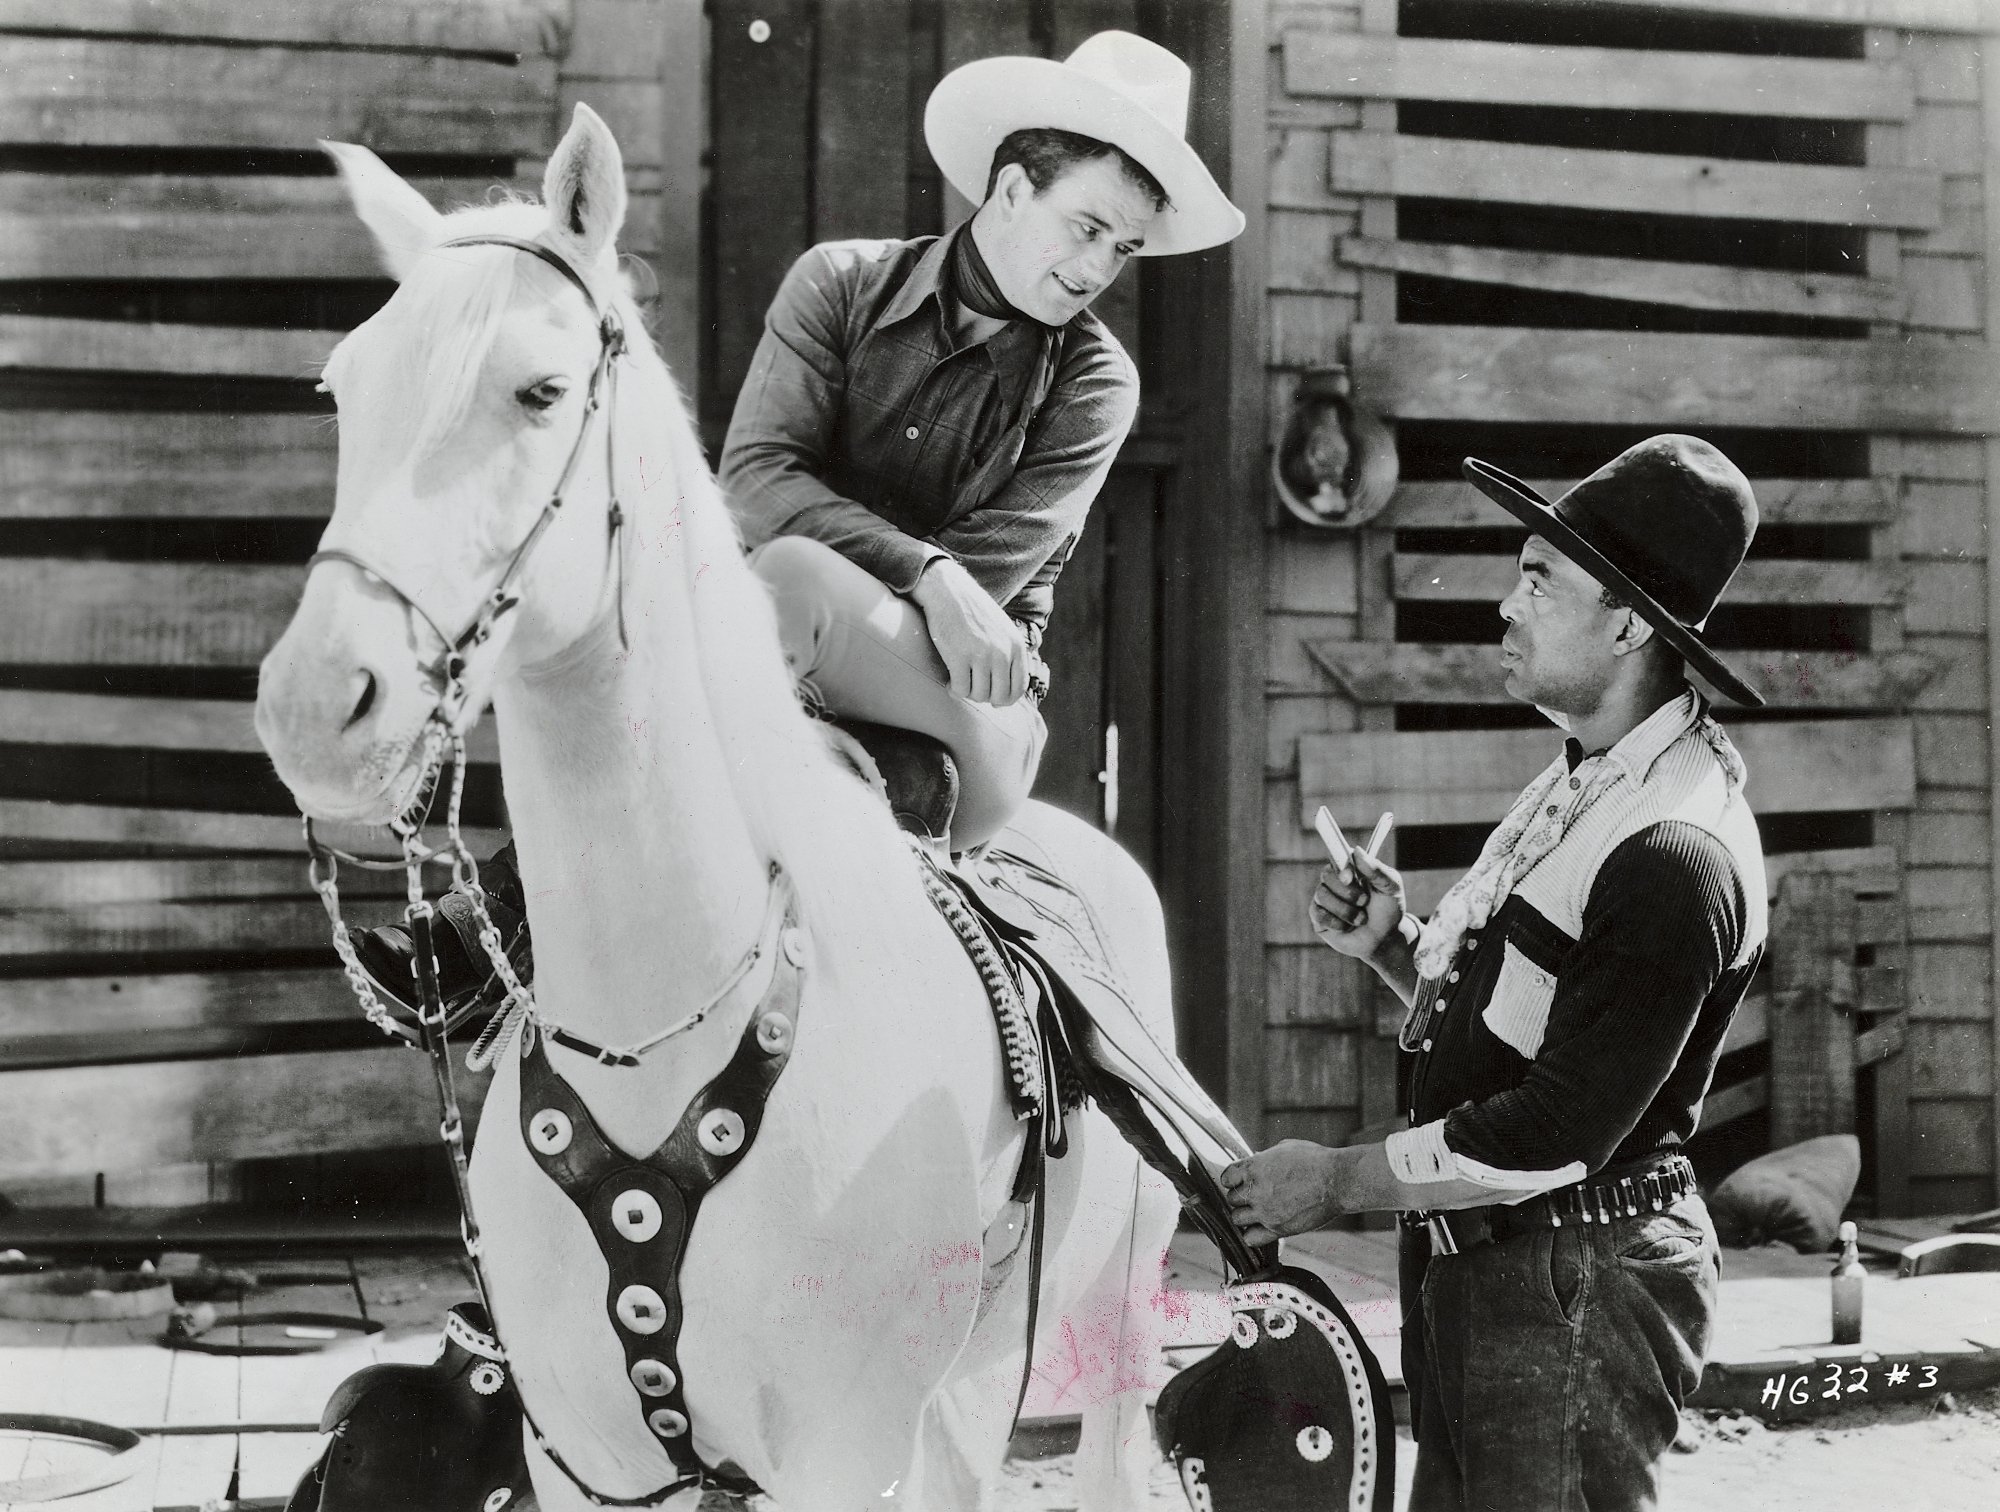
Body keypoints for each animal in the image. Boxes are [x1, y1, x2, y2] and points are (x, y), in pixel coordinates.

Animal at [264, 106, 1200, 1512]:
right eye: (340, 390)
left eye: (541, 391)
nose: (317, 702)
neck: (668, 1029)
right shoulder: (583, 1459)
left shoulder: (841, 1456)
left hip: (1111, 1332)